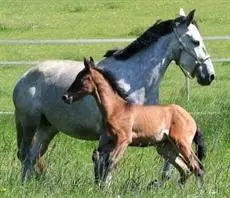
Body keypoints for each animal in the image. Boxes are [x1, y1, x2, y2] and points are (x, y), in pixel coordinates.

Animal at [62, 56, 204, 186]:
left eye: (81, 78)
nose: (65, 97)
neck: (116, 109)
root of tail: (191, 119)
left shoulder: (124, 140)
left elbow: (112, 161)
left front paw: (106, 186)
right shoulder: (110, 141)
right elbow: (98, 156)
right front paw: (100, 184)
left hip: (182, 143)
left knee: (197, 166)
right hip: (166, 147)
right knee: (185, 169)